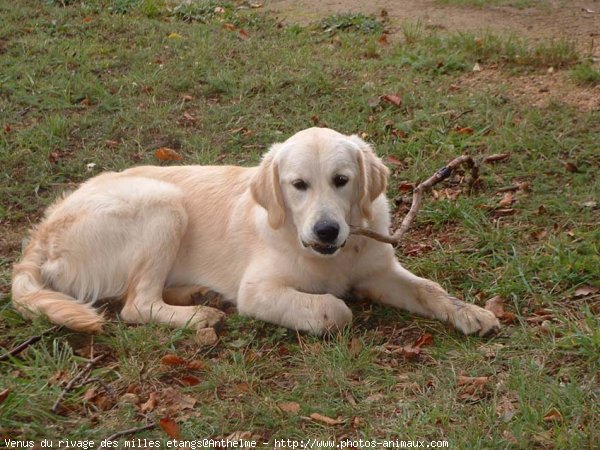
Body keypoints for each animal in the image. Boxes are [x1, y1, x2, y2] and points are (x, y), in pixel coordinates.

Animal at [12, 126, 502, 334]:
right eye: (298, 185)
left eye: (342, 180)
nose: (327, 231)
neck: (332, 257)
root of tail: (39, 235)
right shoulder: (258, 291)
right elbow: (334, 310)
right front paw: (334, 307)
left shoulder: (379, 270)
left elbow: (430, 289)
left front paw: (470, 312)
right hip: (163, 203)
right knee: (136, 304)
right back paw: (198, 314)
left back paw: (194, 293)